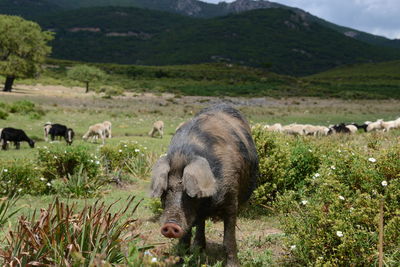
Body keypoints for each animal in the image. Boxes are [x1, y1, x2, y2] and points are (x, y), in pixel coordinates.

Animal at [151, 105, 260, 267]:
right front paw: (180, 261)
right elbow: (184, 239)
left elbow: (229, 238)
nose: (170, 226)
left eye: (188, 192)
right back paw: (199, 249)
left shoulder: (231, 197)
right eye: (166, 190)